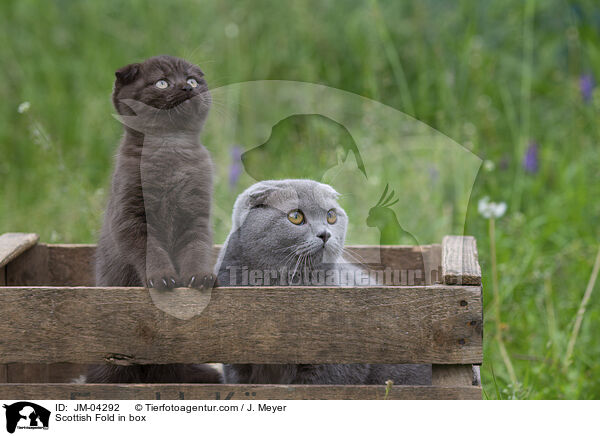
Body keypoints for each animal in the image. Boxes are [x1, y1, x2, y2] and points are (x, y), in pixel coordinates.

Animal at [86, 55, 220, 384]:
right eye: (162, 82)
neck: (170, 151)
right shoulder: (131, 217)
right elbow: (150, 250)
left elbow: (197, 249)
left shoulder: (196, 217)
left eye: (193, 80)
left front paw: (199, 278)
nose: (186, 87)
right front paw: (163, 279)